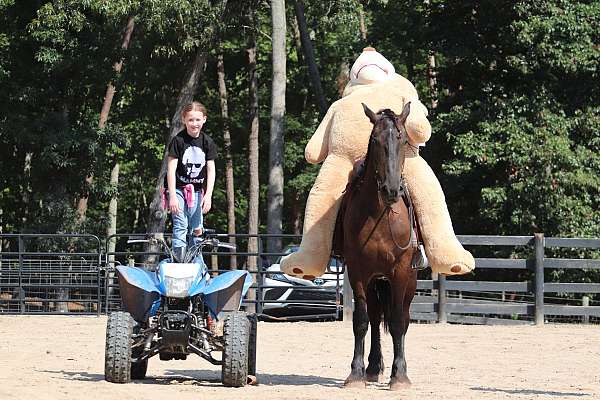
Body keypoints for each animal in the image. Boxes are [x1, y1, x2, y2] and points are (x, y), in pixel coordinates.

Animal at [338, 101, 418, 390]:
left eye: (403, 139)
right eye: (375, 140)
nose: (391, 190)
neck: (380, 217)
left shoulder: (401, 272)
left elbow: (397, 323)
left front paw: (400, 375)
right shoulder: (358, 273)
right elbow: (361, 322)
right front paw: (355, 373)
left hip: (407, 283)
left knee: (402, 318)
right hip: (375, 282)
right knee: (373, 318)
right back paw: (372, 368)